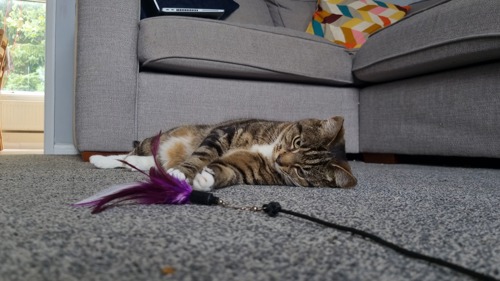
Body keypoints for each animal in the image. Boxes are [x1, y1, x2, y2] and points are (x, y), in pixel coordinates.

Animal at [90, 116, 356, 190]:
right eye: (297, 142)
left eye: (301, 171)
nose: (280, 160)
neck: (270, 150)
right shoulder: (224, 133)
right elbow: (202, 155)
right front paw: (183, 173)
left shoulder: (247, 168)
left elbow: (228, 171)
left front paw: (205, 178)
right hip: (155, 140)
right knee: (128, 155)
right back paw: (98, 158)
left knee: (136, 162)